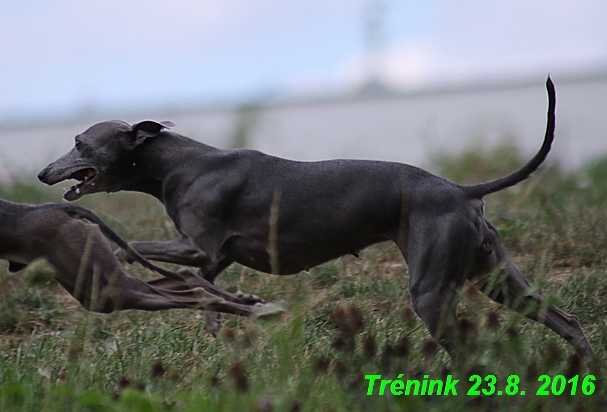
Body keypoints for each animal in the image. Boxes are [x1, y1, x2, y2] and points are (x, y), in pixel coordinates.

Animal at [0, 201, 272, 318]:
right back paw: (249, 301)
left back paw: (259, 311)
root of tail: (57, 206)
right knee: (186, 277)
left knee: (194, 292)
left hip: (100, 288)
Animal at [36, 78, 592, 360]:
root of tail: (461, 191)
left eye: (80, 142)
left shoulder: (199, 246)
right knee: (565, 320)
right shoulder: (212, 262)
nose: (43, 172)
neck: (181, 164)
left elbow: (132, 244)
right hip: (494, 272)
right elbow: (209, 298)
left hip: (433, 289)